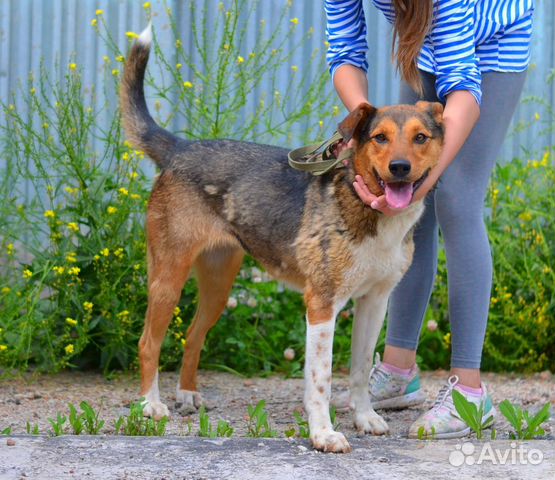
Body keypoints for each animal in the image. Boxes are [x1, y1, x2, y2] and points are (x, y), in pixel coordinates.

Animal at [120, 25, 444, 454]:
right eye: (379, 138)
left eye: (421, 138)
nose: (400, 168)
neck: (366, 208)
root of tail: (180, 147)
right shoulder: (321, 303)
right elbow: (321, 380)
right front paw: (323, 434)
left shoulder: (375, 302)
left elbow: (359, 370)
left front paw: (365, 417)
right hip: (168, 277)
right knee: (147, 342)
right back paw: (150, 405)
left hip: (218, 286)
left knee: (193, 334)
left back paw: (187, 394)